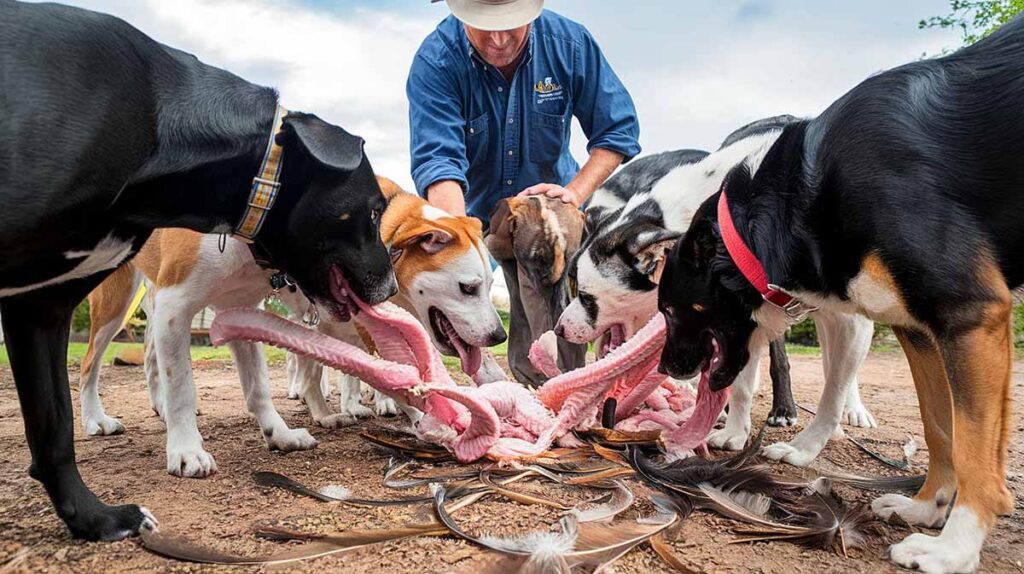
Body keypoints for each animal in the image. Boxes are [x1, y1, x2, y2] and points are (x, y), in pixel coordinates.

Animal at [0, 2, 395, 540]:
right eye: (374, 211)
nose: (391, 287)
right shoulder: (171, 306)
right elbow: (183, 384)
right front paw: (186, 450)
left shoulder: (235, 313)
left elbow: (257, 386)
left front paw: (278, 432)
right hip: (114, 303)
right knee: (90, 366)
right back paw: (100, 419)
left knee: (148, 360)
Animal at [557, 117, 876, 466]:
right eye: (571, 285)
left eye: (587, 298)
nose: (559, 329)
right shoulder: (740, 322)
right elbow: (740, 382)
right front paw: (733, 433)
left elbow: (832, 388)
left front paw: (804, 446)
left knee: (832, 368)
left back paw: (839, 410)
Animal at [659, 14, 1019, 572]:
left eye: (674, 310)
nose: (664, 368)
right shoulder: (920, 330)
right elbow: (941, 430)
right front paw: (927, 507)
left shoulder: (968, 314)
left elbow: (971, 446)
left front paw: (954, 546)